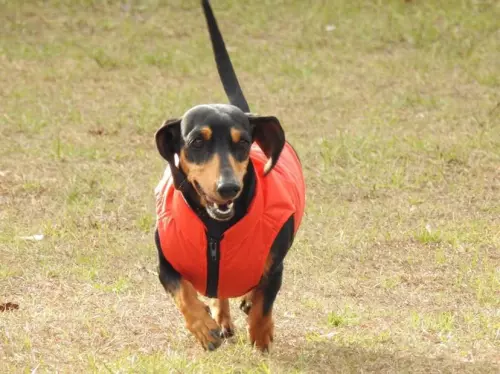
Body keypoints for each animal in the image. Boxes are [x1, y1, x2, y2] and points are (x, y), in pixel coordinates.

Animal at [153, 0, 304, 352]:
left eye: (244, 142)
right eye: (197, 141)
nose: (228, 188)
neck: (216, 229)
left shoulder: (275, 263)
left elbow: (265, 302)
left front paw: (261, 335)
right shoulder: (164, 263)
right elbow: (184, 293)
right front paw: (204, 327)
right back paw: (220, 320)